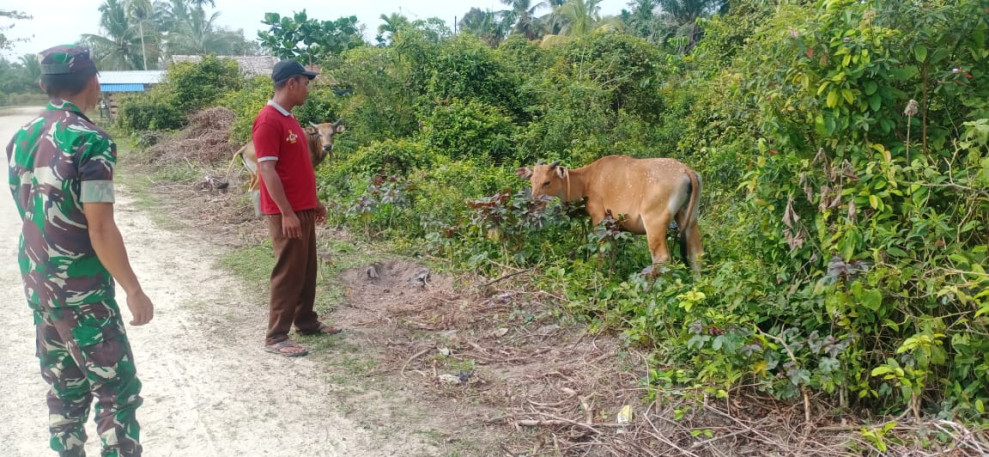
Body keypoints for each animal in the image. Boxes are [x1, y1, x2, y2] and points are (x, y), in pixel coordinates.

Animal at [516, 155, 704, 272]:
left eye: (547, 182)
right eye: (532, 181)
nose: (532, 202)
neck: (586, 180)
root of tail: (686, 170)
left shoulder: (599, 218)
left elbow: (601, 249)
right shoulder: (616, 226)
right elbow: (613, 251)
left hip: (654, 222)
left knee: (661, 257)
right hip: (689, 218)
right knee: (696, 253)